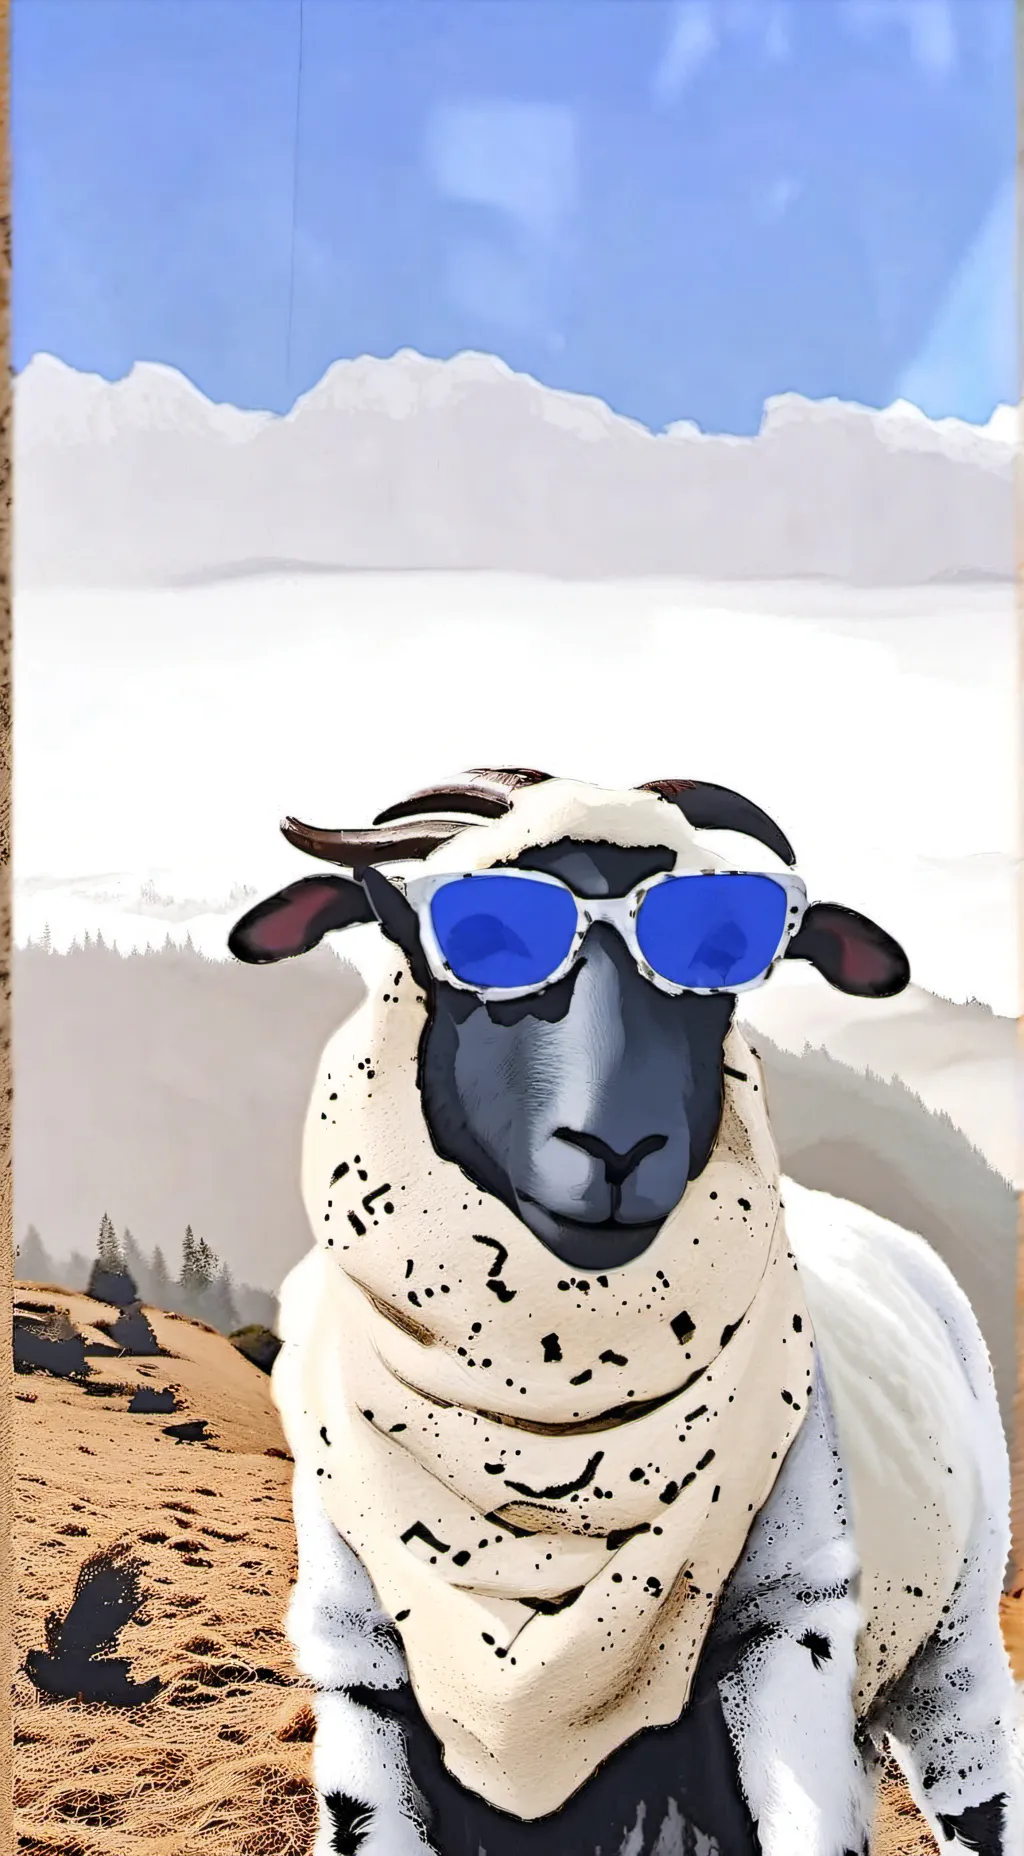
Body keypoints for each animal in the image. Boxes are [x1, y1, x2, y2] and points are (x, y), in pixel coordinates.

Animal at [229, 770, 1021, 1856]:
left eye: (726, 954)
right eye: (470, 940)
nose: (616, 1148)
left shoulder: (792, 1621)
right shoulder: (357, 1671)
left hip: (956, 1643)